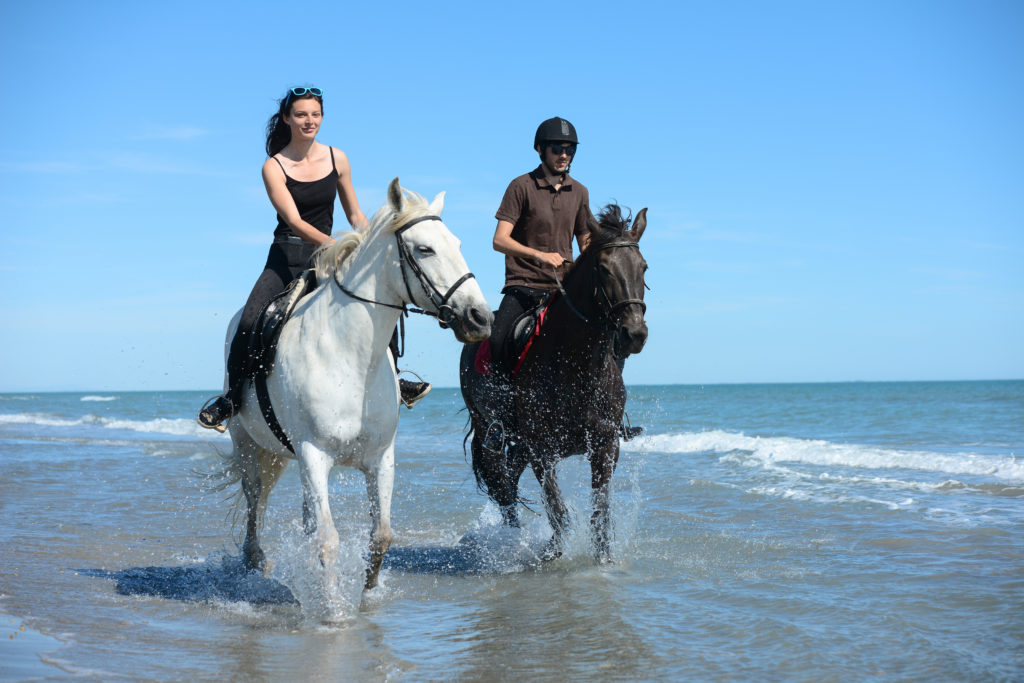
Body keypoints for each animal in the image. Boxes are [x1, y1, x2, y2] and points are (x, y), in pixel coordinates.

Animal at [223, 179, 491, 589]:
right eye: (424, 249)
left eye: (458, 244)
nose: (480, 317)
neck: (351, 358)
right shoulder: (314, 454)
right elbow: (328, 541)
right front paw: (332, 603)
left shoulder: (380, 458)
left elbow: (380, 536)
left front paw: (368, 592)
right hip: (247, 443)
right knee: (255, 498)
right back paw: (255, 561)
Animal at [462, 205, 647, 565]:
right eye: (604, 270)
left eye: (643, 267)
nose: (635, 334)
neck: (576, 368)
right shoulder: (542, 449)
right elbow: (557, 509)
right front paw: (552, 551)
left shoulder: (605, 446)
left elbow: (600, 510)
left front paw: (603, 558)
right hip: (491, 430)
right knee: (503, 488)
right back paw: (512, 540)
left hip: (520, 446)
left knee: (510, 480)